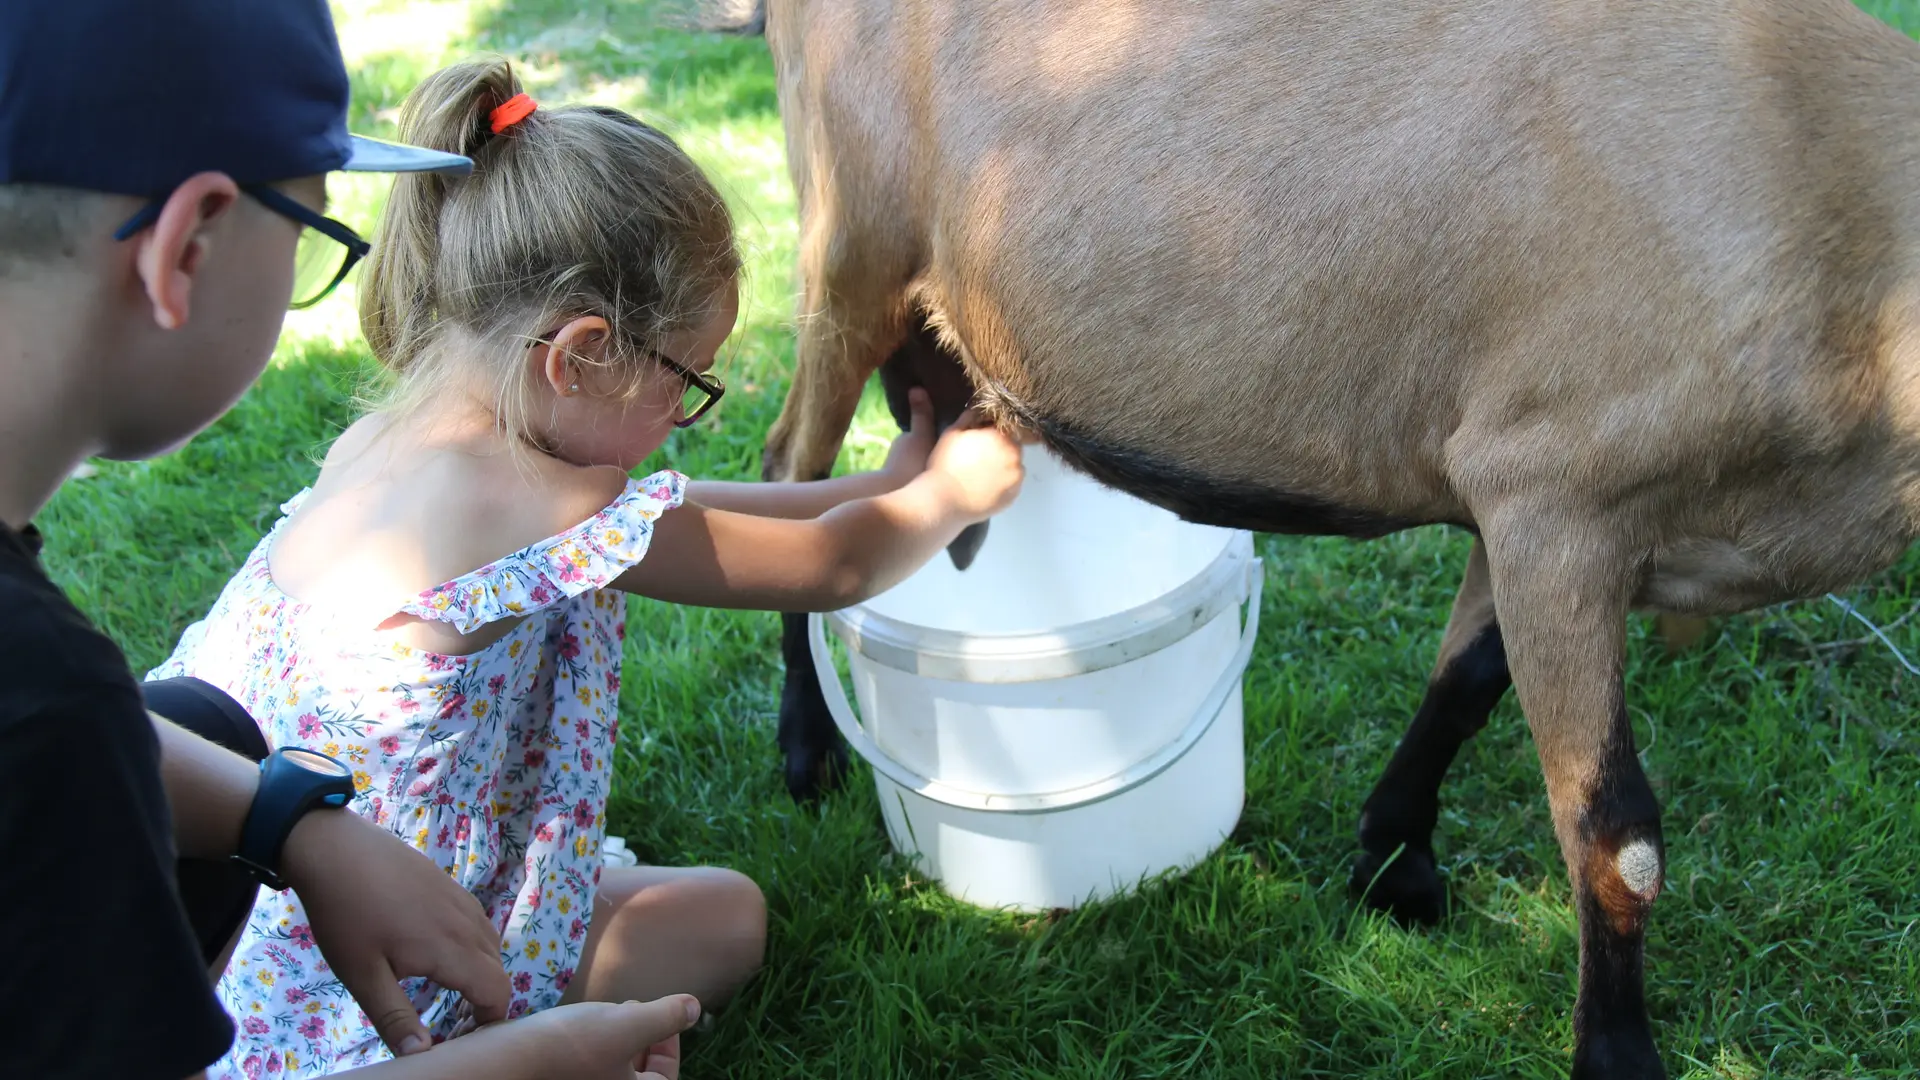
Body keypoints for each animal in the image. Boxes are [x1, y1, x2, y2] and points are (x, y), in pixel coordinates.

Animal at [721, 4, 1920, 1068]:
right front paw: (1615, 1054)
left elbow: (1463, 683)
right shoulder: (1561, 489)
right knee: (790, 468)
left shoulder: (1517, 491)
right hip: (846, 242)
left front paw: (1395, 864)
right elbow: (1615, 837)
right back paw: (807, 751)